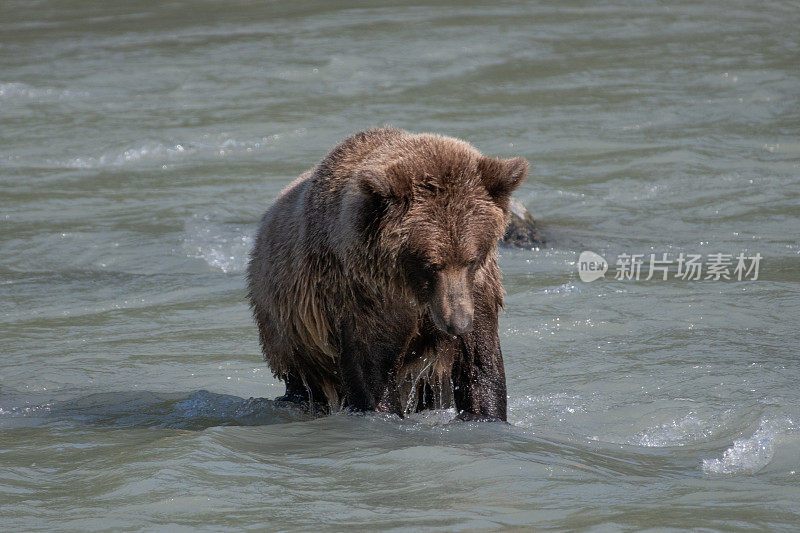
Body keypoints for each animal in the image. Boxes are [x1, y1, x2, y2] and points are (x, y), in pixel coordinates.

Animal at [247, 128, 528, 420]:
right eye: (431, 264)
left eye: (471, 259)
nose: (458, 324)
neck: (413, 288)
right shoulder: (366, 292)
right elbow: (372, 368)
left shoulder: (477, 291)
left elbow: (479, 361)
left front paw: (486, 413)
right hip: (289, 329)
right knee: (302, 380)